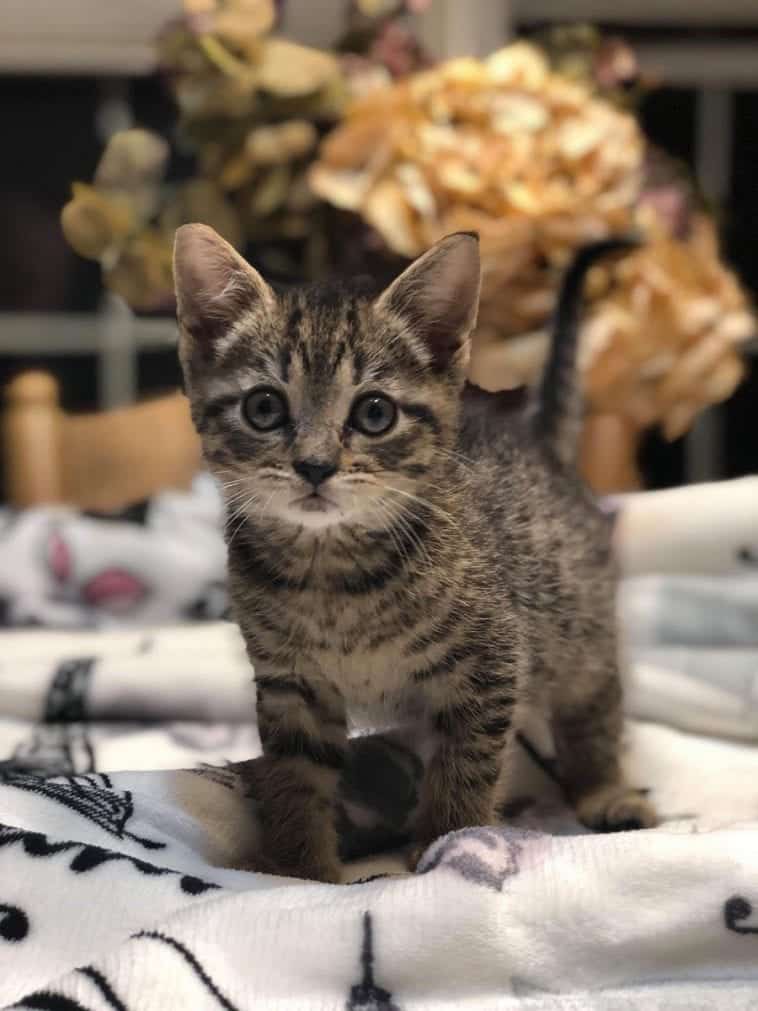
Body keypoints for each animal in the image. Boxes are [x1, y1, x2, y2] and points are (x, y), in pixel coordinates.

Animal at [174, 225, 654, 881]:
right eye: (264, 408)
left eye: (375, 413)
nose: (315, 466)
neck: (332, 577)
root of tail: (538, 445)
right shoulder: (291, 685)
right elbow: (295, 780)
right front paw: (298, 868)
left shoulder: (490, 663)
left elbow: (465, 767)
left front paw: (450, 847)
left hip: (578, 620)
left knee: (595, 700)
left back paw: (603, 787)